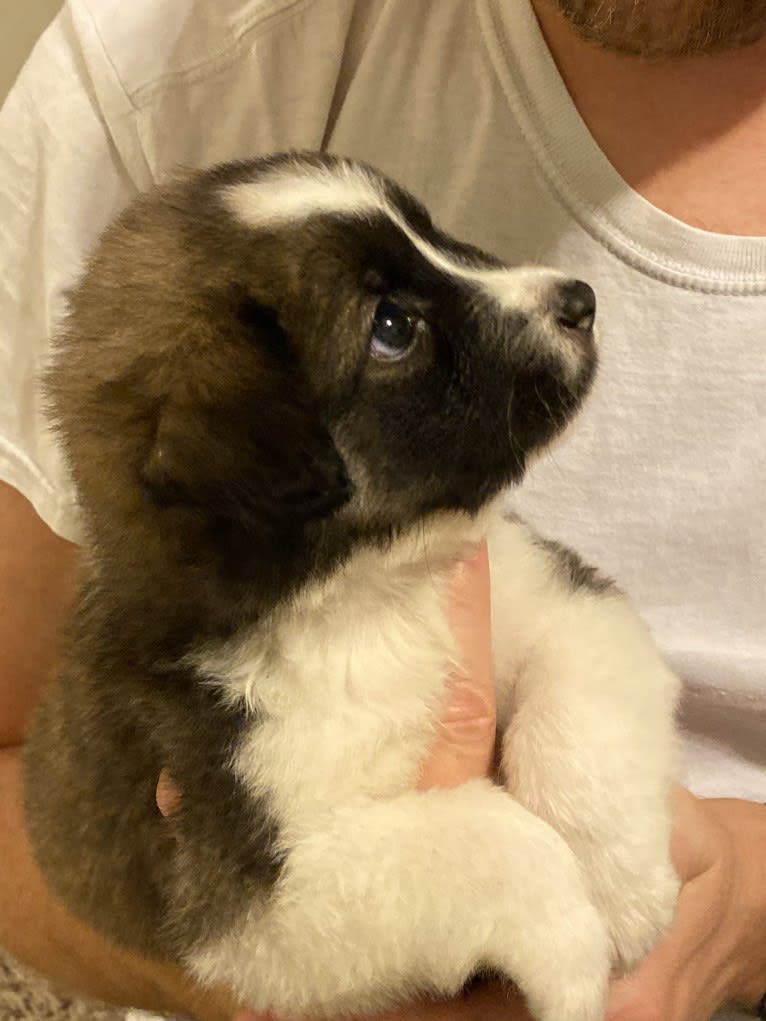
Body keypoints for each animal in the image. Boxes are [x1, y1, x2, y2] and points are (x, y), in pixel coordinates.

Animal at [24, 153, 682, 1021]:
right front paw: (576, 955)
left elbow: (575, 719)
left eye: (433, 234)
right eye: (392, 328)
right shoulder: (264, 896)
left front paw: (626, 889)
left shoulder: (548, 593)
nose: (580, 300)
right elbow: (494, 840)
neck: (367, 600)